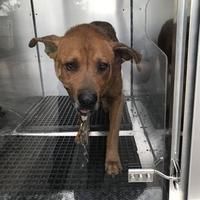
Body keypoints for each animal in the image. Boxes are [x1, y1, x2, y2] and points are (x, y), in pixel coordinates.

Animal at [28, 21, 141, 176]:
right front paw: (82, 132)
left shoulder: (118, 99)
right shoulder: (73, 98)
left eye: (103, 66)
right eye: (70, 65)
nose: (88, 100)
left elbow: (113, 134)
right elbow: (82, 119)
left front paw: (112, 160)